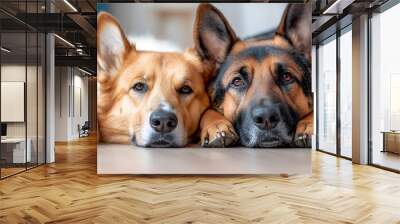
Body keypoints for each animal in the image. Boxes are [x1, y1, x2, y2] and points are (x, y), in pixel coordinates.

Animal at [195, 3, 314, 148]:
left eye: (286, 76)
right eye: (237, 81)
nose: (266, 118)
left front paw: (310, 124)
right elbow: (206, 111)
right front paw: (215, 125)